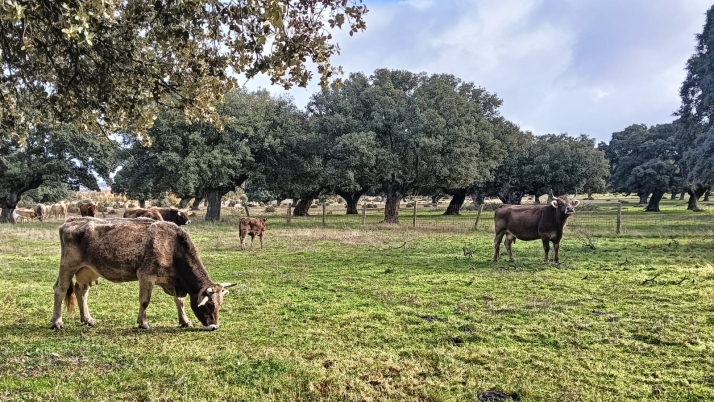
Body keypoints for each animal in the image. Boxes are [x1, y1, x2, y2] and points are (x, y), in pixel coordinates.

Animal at [53, 218, 236, 332]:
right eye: (209, 305)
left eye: (220, 305)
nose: (214, 327)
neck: (172, 246)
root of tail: (71, 221)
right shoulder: (146, 275)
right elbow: (145, 301)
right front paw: (143, 323)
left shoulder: (174, 283)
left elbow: (180, 301)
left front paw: (185, 321)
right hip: (67, 266)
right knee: (60, 290)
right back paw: (57, 322)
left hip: (87, 270)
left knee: (81, 290)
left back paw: (87, 319)